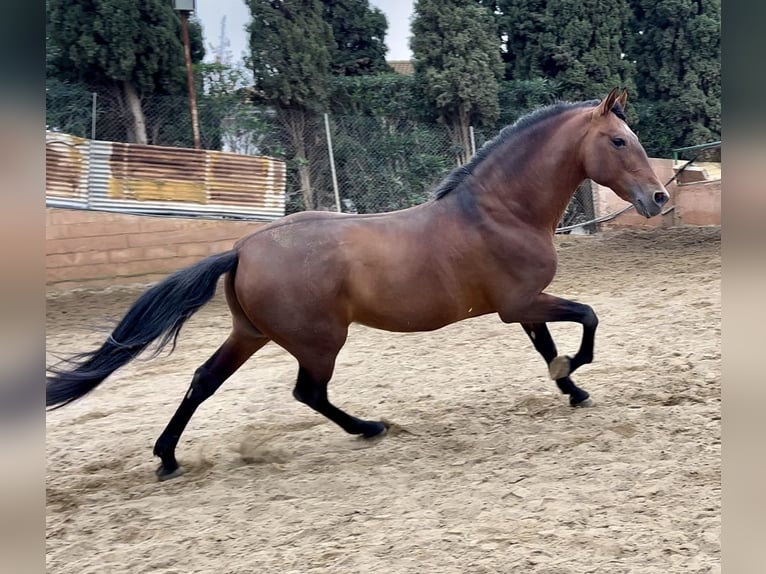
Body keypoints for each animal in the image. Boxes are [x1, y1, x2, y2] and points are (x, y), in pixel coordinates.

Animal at [47, 88, 670, 481]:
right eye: (618, 141)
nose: (659, 198)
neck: (499, 211)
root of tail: (243, 248)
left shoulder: (521, 308)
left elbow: (548, 344)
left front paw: (571, 387)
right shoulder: (521, 303)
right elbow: (586, 318)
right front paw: (573, 372)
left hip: (250, 335)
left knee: (204, 380)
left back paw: (167, 459)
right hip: (319, 341)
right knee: (308, 393)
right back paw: (369, 427)